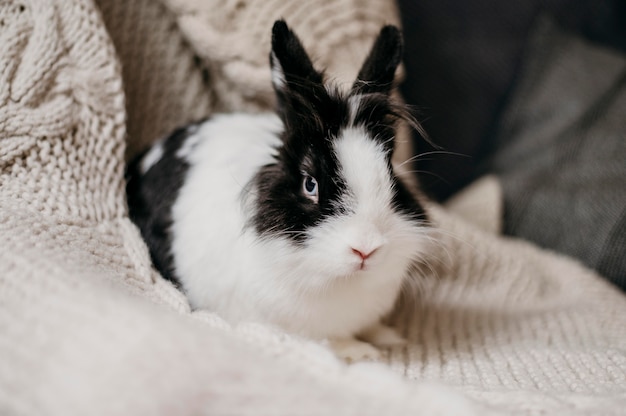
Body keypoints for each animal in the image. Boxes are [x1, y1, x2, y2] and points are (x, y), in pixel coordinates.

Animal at [124, 19, 432, 360]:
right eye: (310, 184)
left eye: (390, 176)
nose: (366, 249)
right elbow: (331, 340)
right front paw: (362, 352)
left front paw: (389, 337)